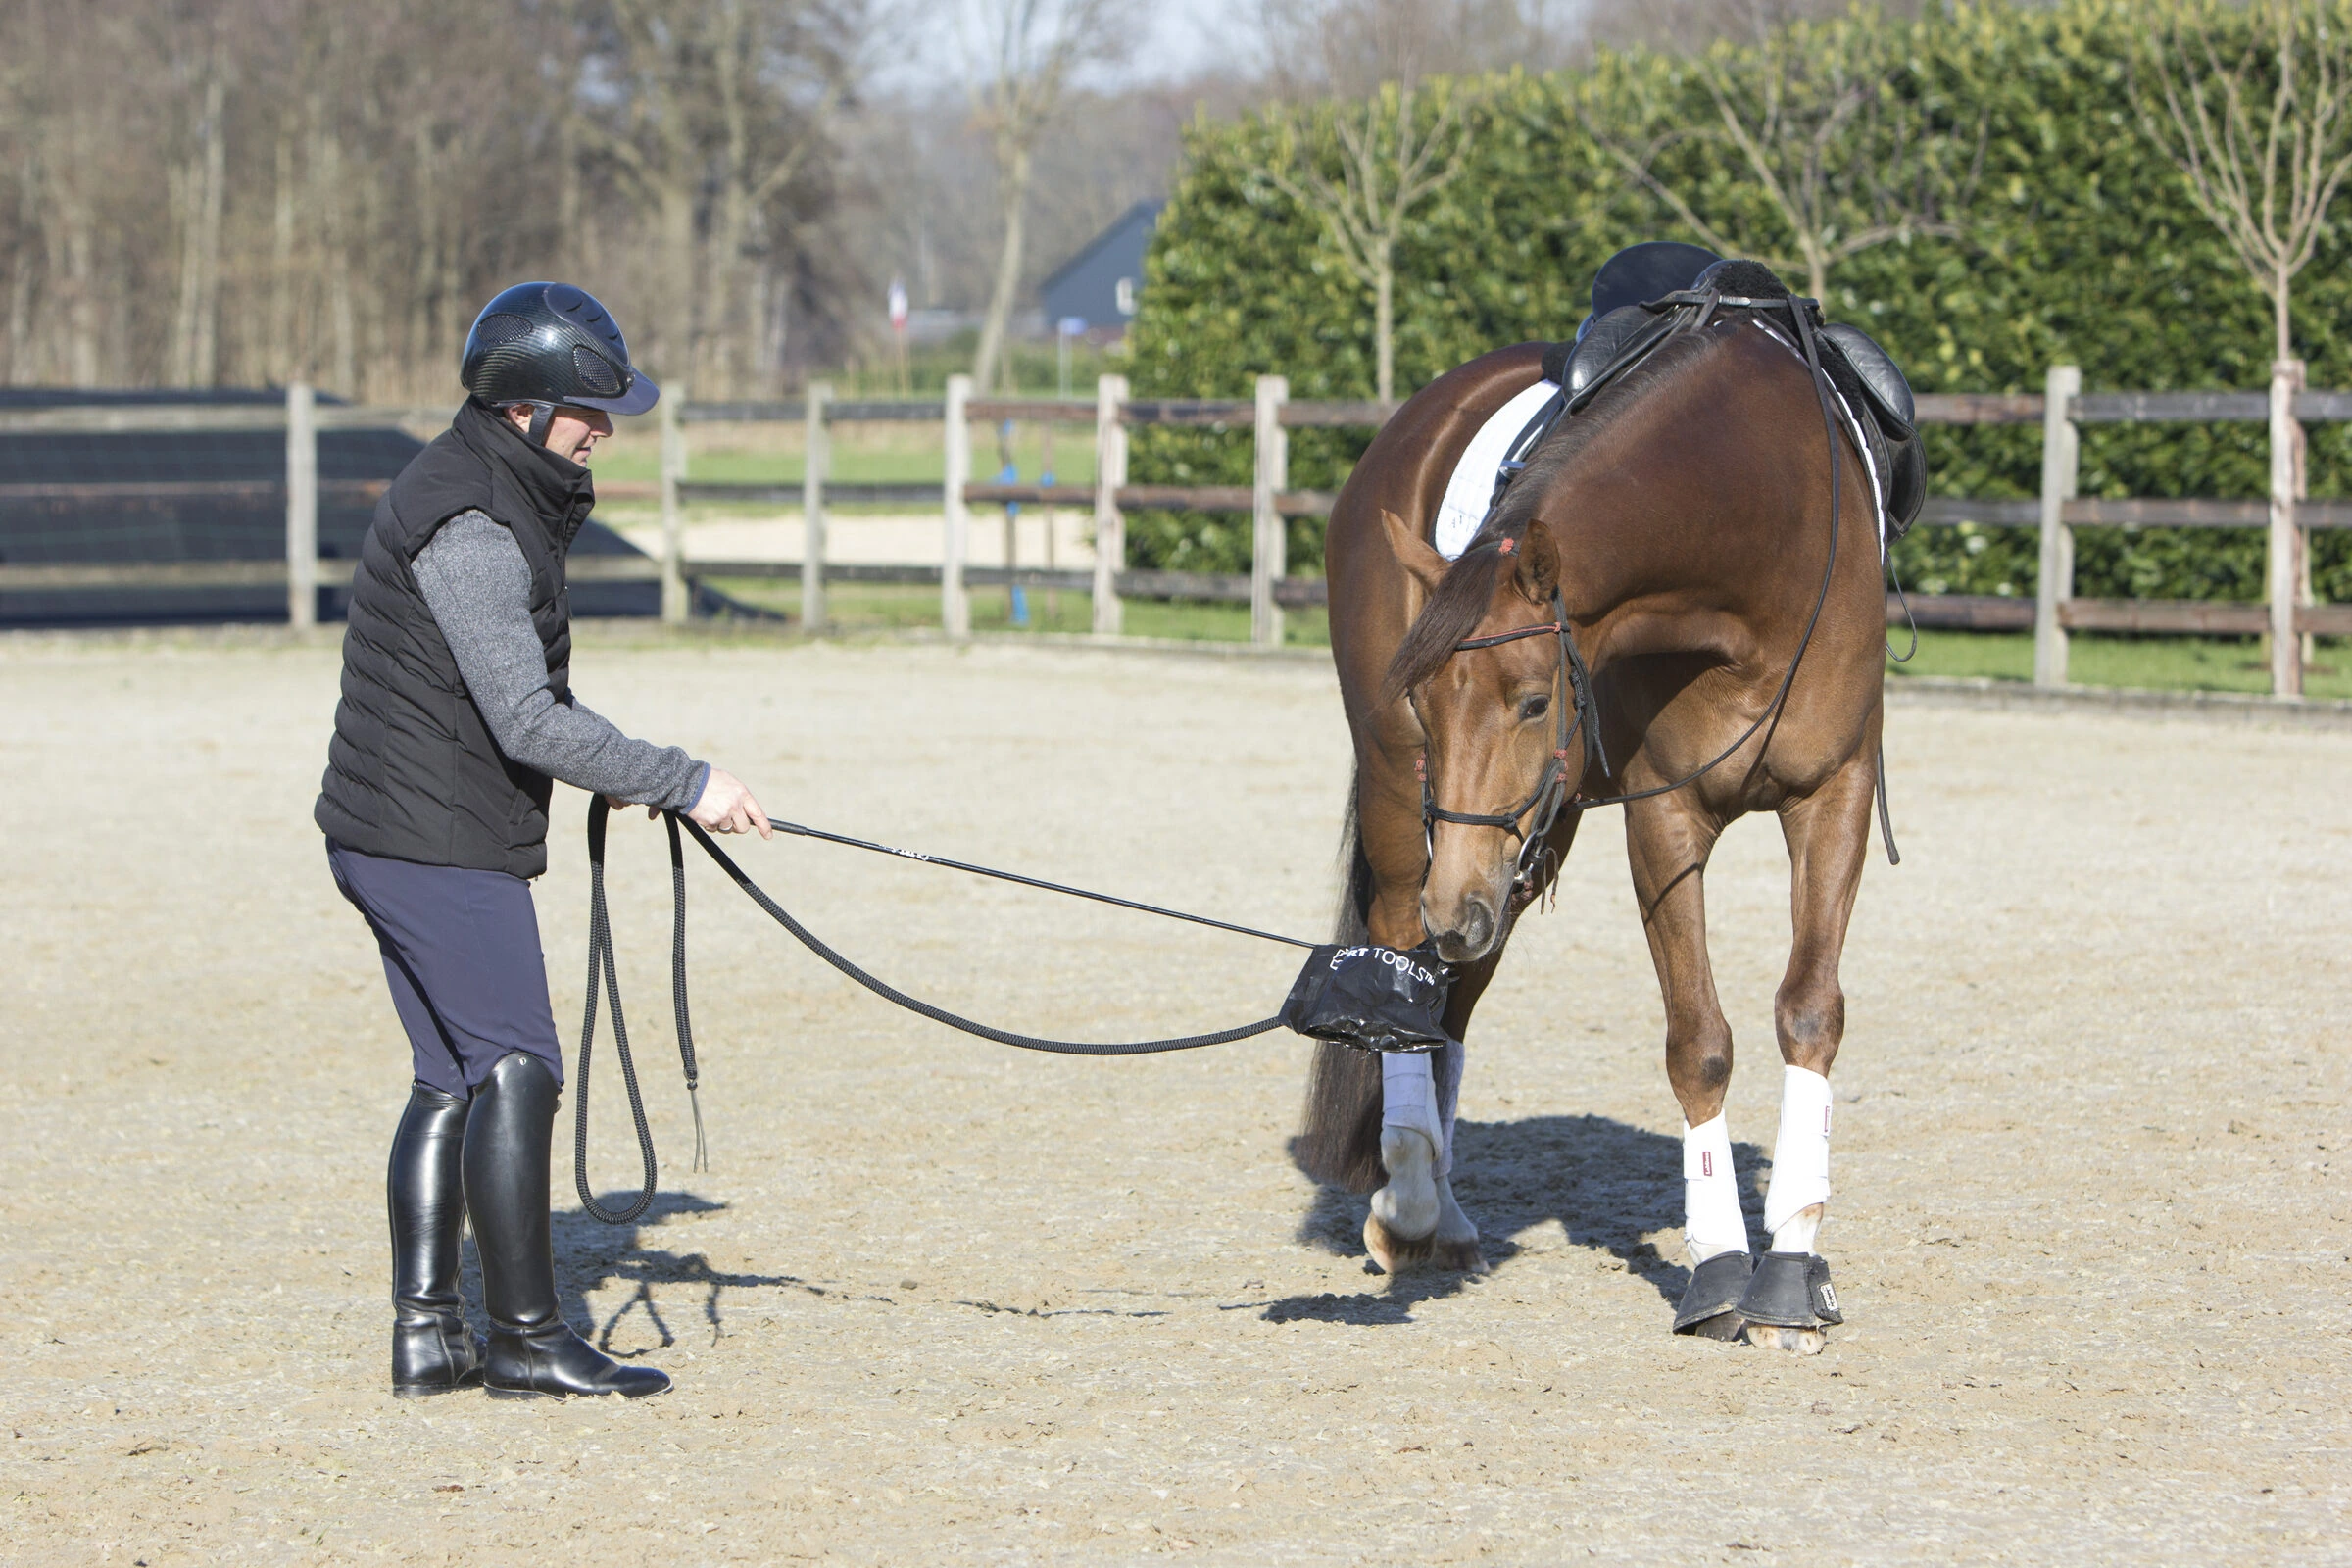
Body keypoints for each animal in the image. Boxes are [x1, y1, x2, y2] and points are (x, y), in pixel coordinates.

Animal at [1297, 290, 1890, 1353]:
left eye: (1535, 701)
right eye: (1423, 701)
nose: (1454, 901)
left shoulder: (1835, 796)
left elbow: (1810, 1011)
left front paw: (1790, 1272)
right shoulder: (1666, 817)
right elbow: (1698, 1039)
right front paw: (1721, 1270)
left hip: (1516, 844)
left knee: (1452, 986)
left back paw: (1440, 1211)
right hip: (1422, 825)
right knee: (1403, 959)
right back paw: (1408, 1206)